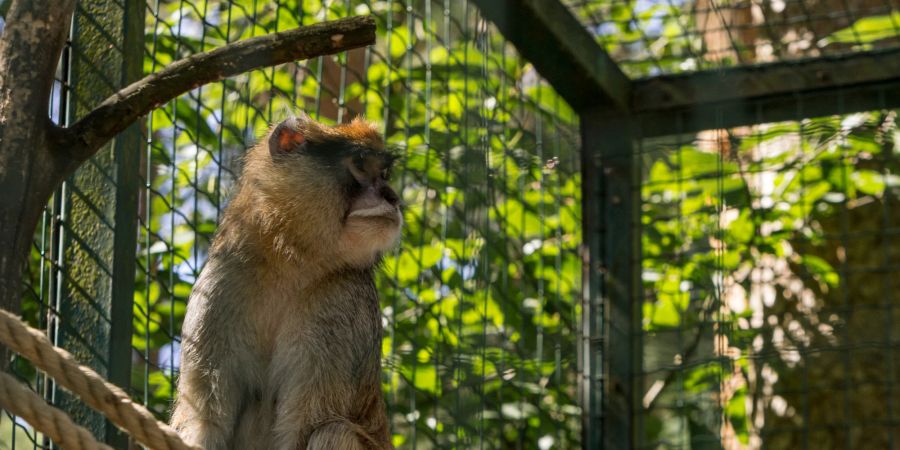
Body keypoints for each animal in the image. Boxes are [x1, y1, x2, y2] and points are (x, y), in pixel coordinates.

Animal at [171, 113, 402, 450]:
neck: (291, 259)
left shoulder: (343, 298)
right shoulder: (222, 280)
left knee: (334, 432)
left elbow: (307, 425)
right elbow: (205, 422)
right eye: (360, 165)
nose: (393, 197)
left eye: (383, 173)